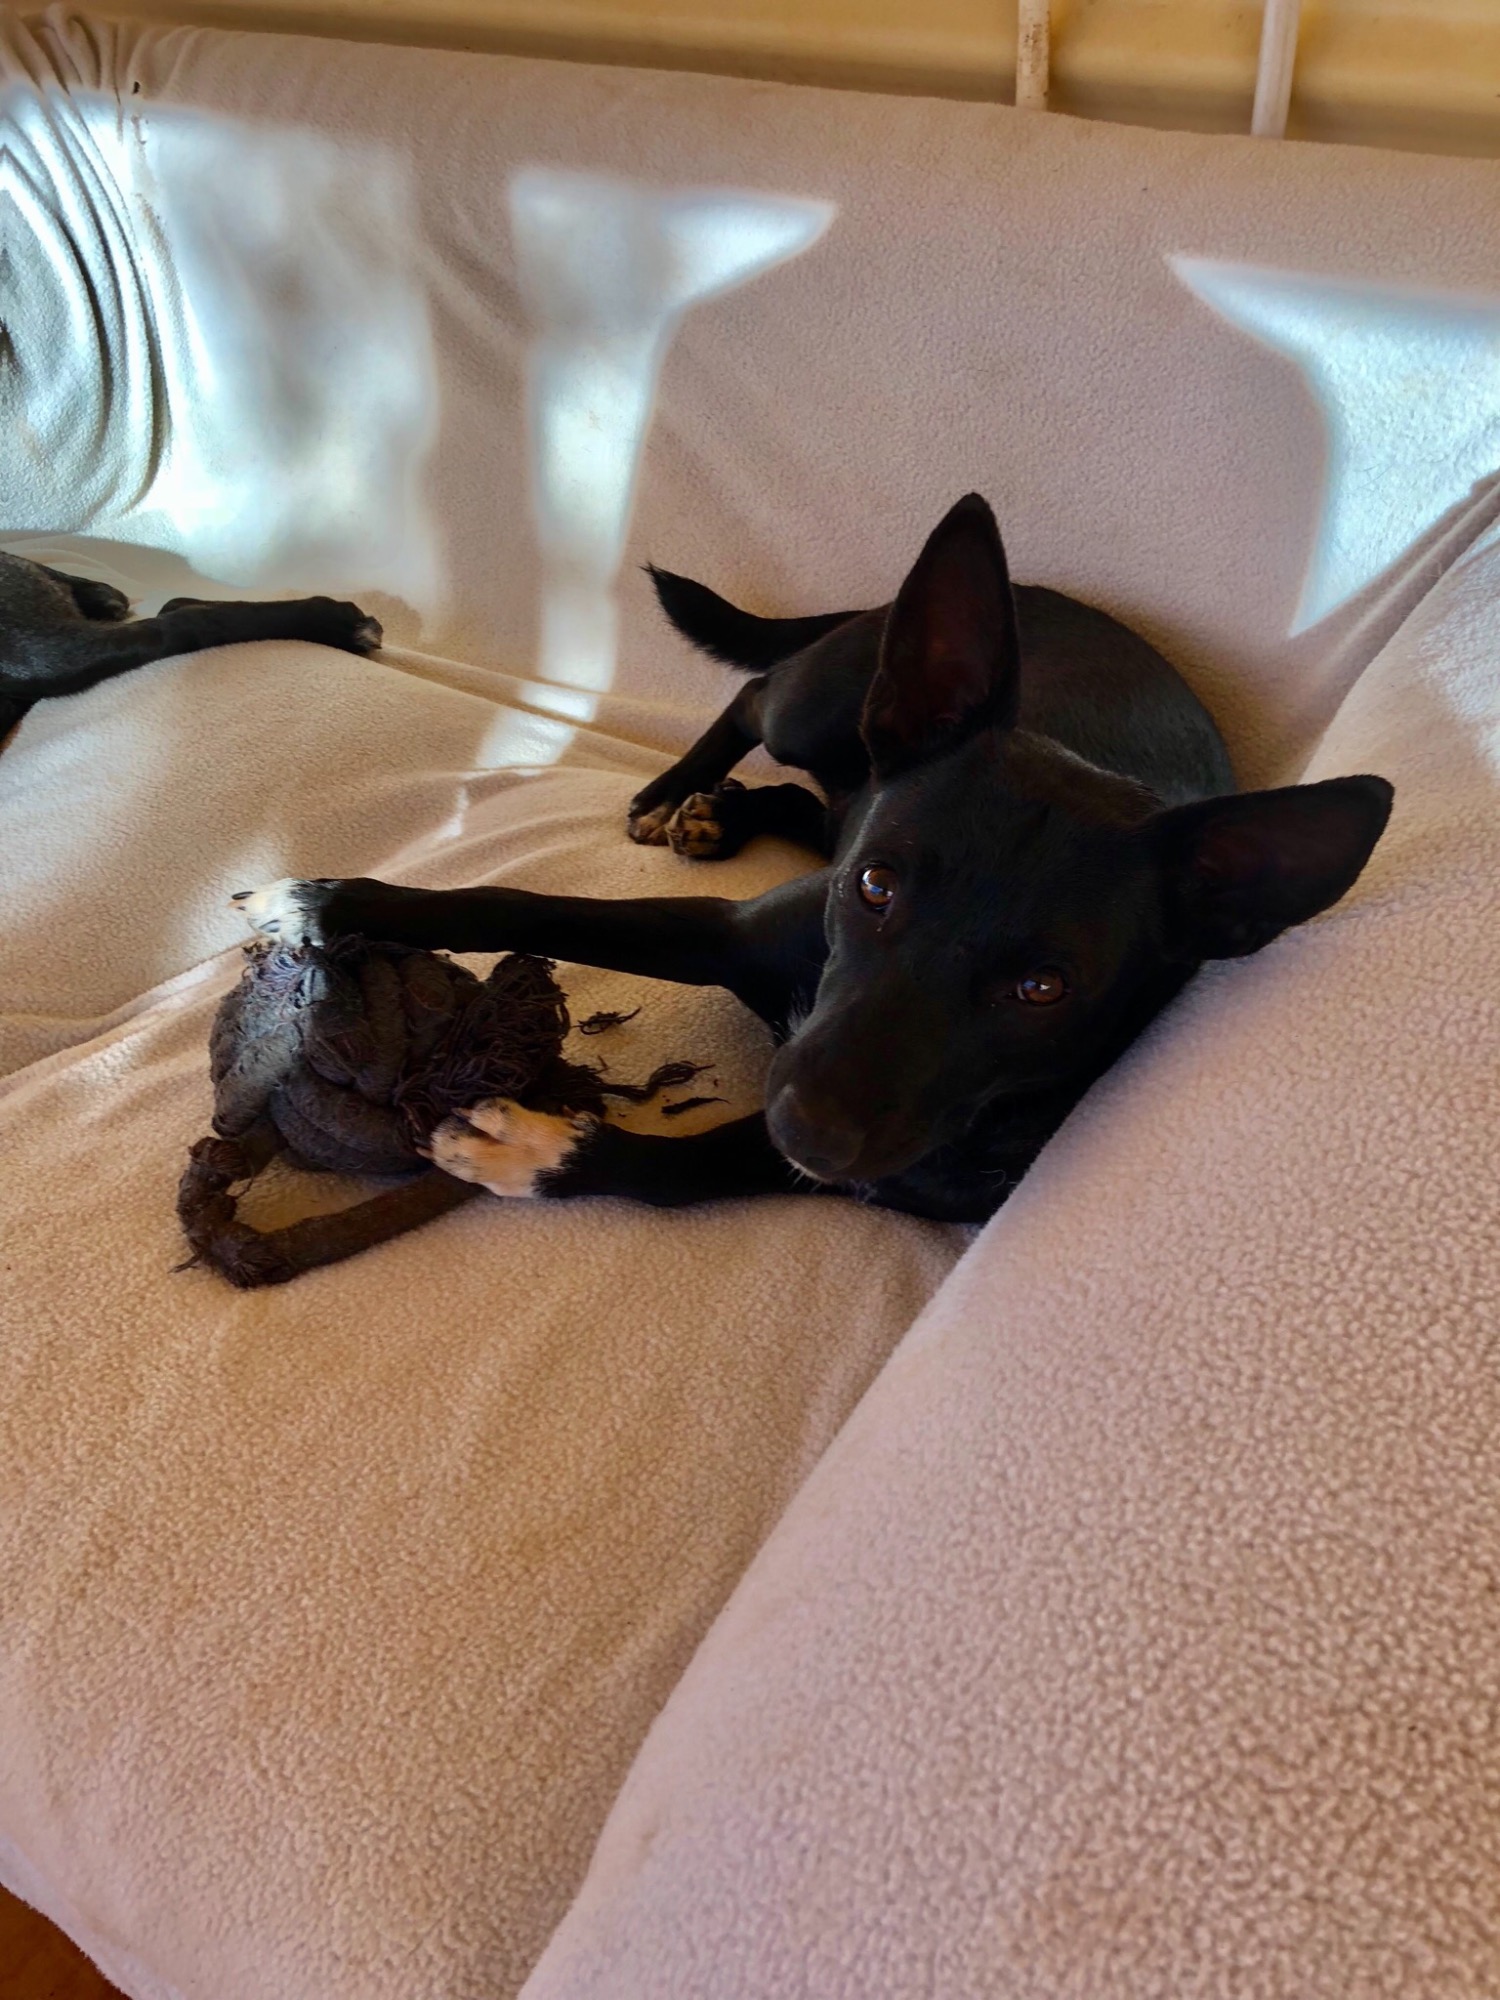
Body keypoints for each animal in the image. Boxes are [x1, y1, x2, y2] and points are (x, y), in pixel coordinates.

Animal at [237, 494, 1392, 1223]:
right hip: (820, 705)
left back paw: (719, 815)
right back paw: (676, 791)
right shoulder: (722, 929)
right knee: (758, 696)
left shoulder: (885, 1165)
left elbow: (691, 1167)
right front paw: (321, 902)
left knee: (807, 788)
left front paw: (537, 1150)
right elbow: (515, 901)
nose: (815, 1127)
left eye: (1043, 987)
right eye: (876, 887)